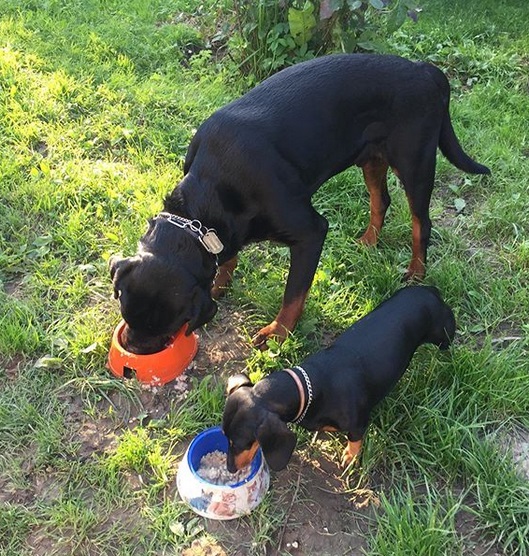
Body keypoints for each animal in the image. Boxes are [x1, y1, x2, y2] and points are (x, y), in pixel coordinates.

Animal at [109, 55, 488, 352]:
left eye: (166, 325)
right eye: (125, 310)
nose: (131, 346)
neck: (216, 183)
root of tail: (426, 70)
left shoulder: (310, 232)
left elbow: (294, 294)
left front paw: (276, 334)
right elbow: (226, 257)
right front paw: (220, 283)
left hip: (415, 162)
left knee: (421, 222)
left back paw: (416, 271)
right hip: (371, 158)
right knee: (381, 199)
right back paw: (368, 241)